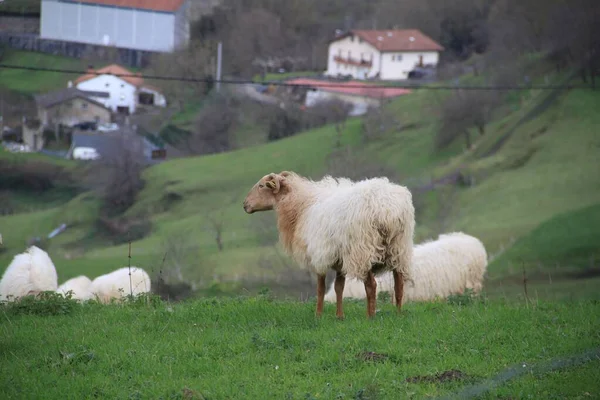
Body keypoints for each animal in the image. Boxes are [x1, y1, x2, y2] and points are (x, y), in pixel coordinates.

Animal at [241, 170, 414, 318]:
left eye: (261, 186)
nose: (245, 205)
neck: (300, 205)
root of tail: (386, 209)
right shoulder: (339, 257)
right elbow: (339, 287)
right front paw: (339, 316)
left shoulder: (319, 253)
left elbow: (320, 288)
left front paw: (318, 315)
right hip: (399, 247)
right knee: (399, 284)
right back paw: (398, 313)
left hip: (362, 250)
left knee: (371, 285)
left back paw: (370, 316)